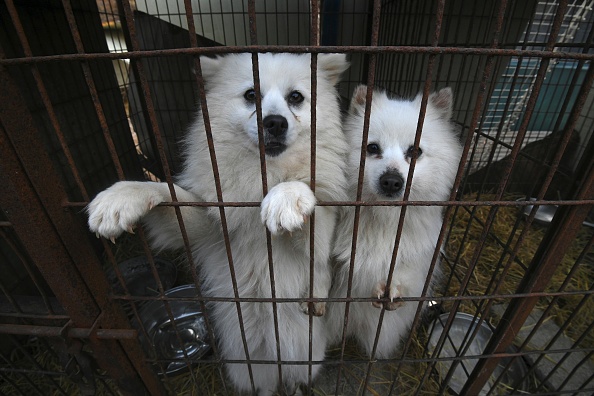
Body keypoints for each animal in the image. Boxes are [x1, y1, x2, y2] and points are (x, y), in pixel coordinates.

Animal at [87, 53, 346, 396]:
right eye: (251, 94)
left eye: (296, 97)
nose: (275, 122)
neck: (265, 174)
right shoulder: (209, 224)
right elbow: (168, 193)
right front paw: (121, 196)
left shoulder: (319, 235)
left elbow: (308, 200)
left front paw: (287, 195)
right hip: (246, 364)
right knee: (265, 384)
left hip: (304, 356)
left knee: (294, 374)